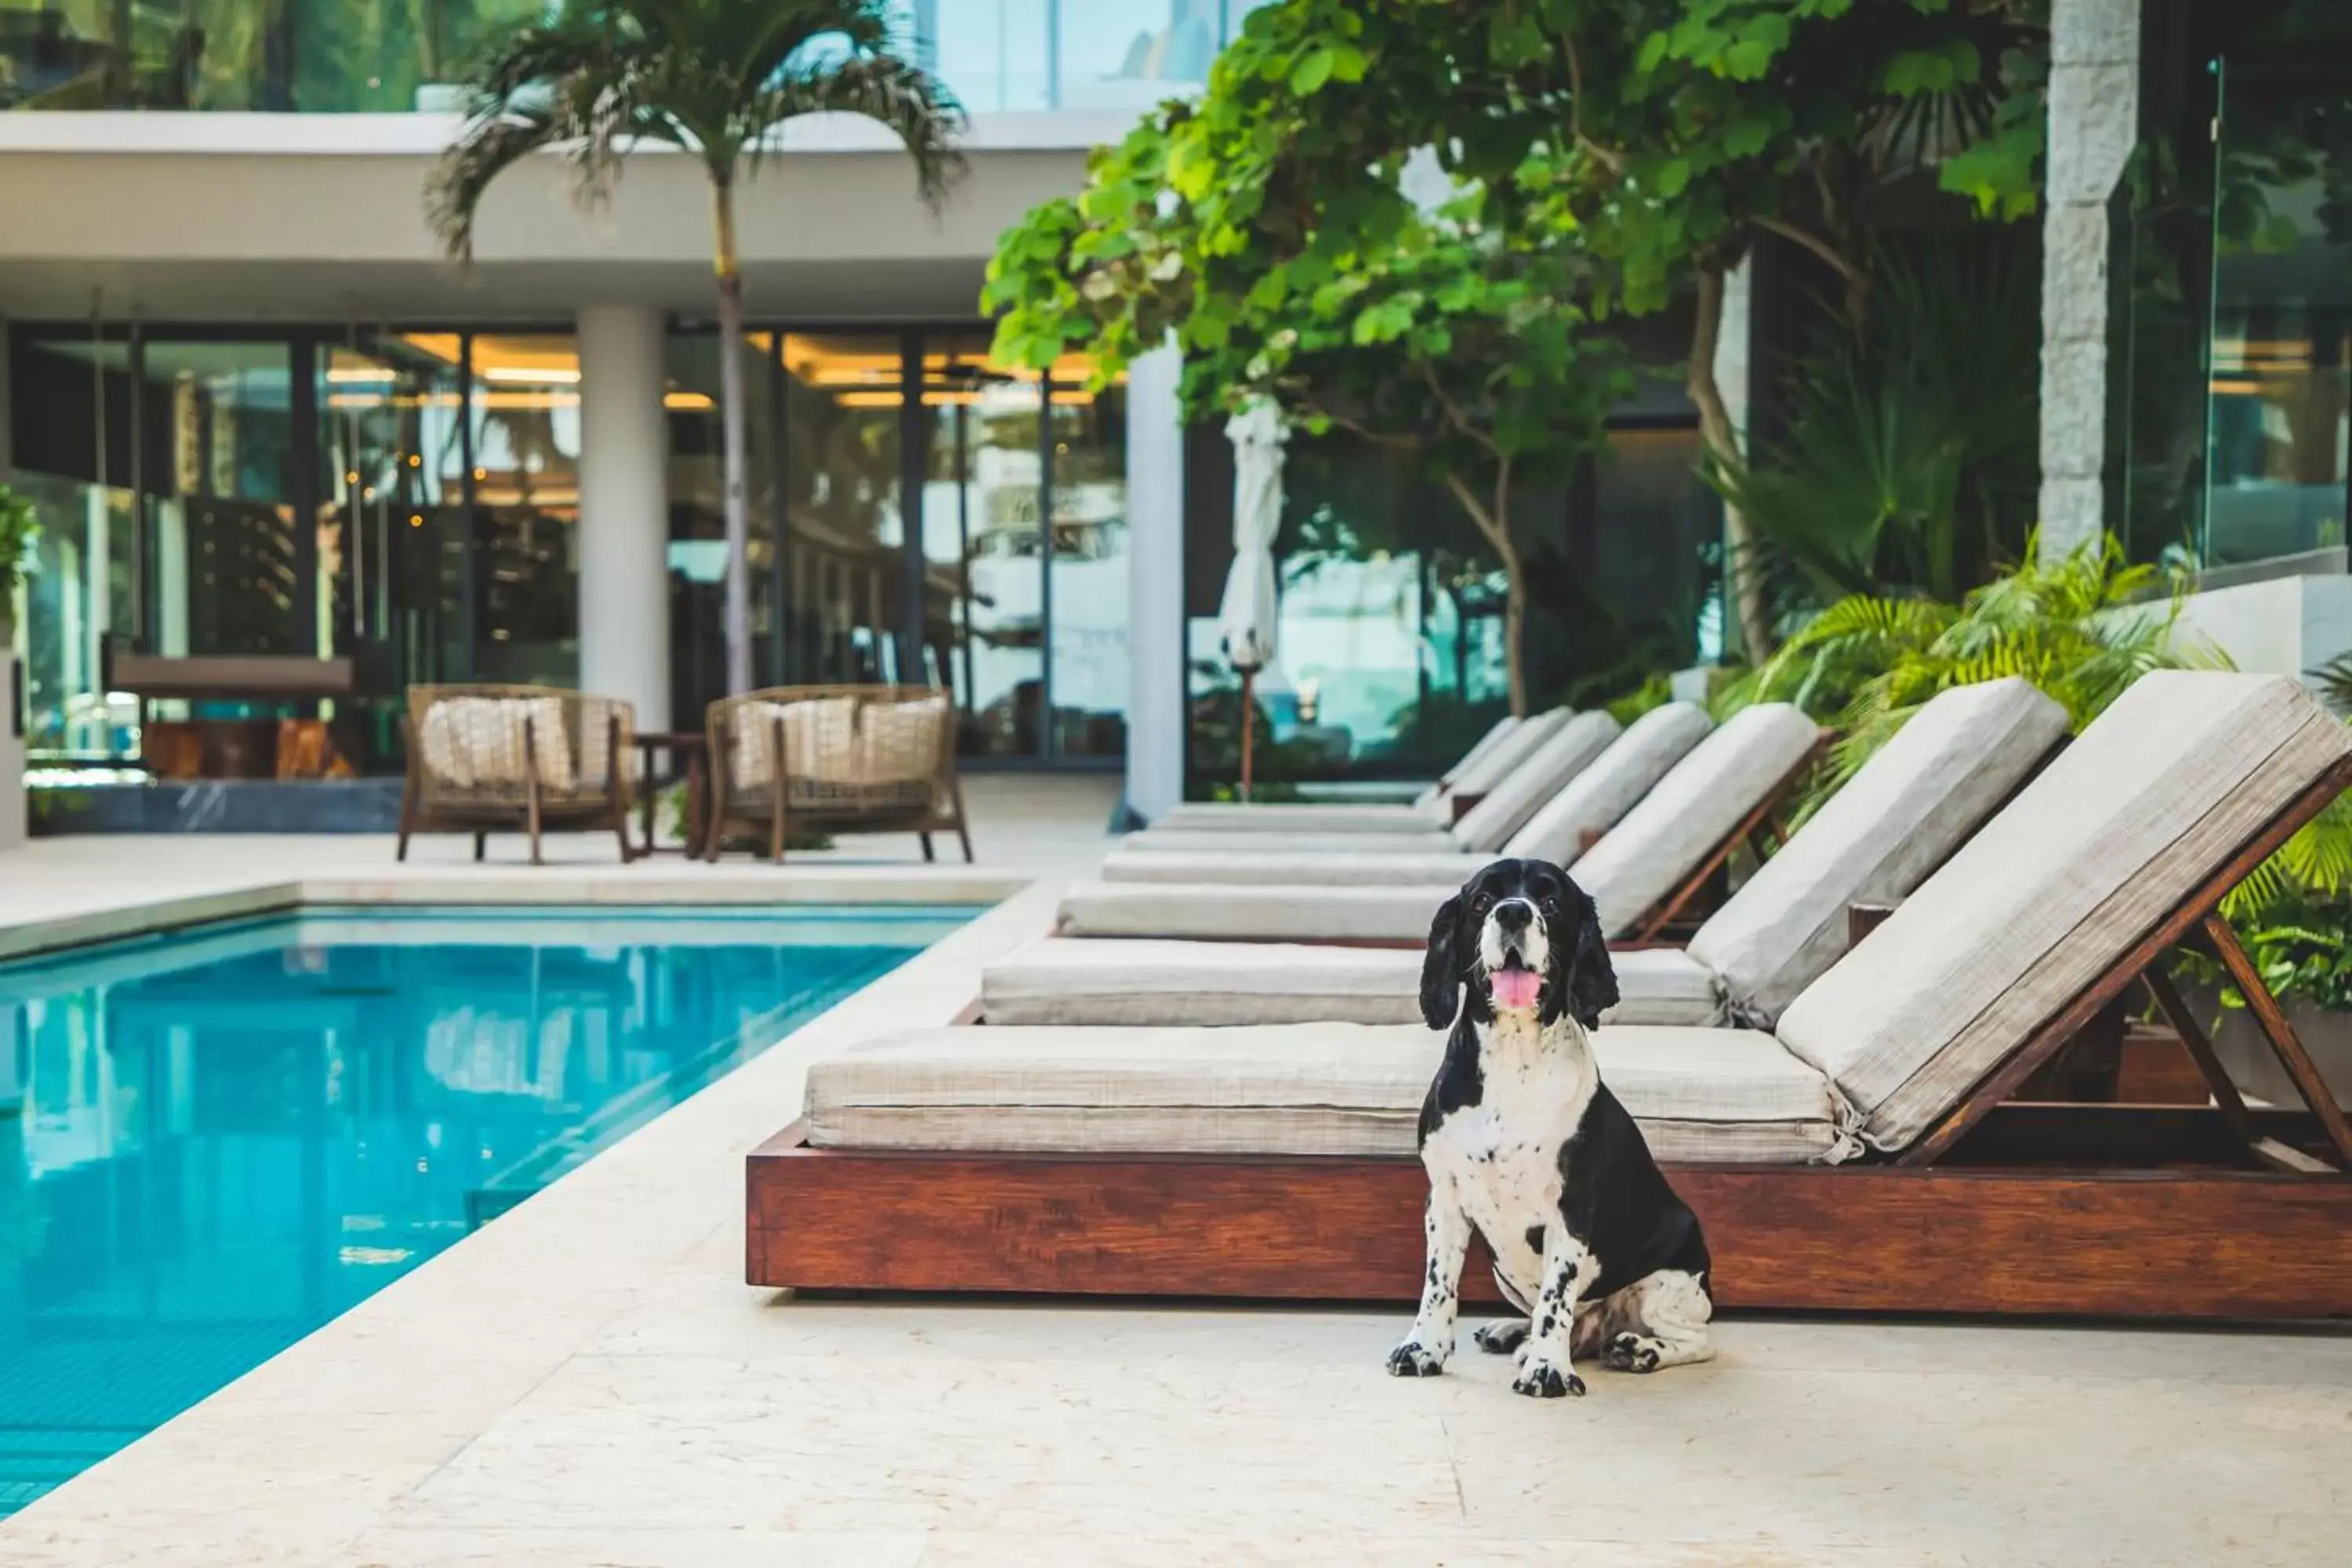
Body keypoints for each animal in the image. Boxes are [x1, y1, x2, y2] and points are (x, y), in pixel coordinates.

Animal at [1383, 860, 1722, 1401]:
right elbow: (1438, 1284)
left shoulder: (1571, 1209)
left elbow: (1556, 1297)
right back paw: (1511, 1332)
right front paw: (1422, 1349)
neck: (1513, 1059)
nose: (1514, 912)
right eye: (1482, 901)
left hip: (1669, 1283)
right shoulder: (1445, 1198)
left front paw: (1547, 1369)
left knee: (1698, 1339)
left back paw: (1639, 1349)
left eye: (1552, 902)